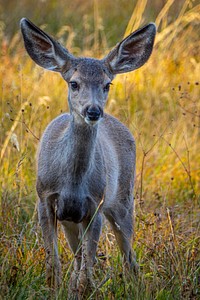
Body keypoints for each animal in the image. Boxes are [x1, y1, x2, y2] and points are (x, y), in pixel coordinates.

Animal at [20, 17, 155, 296]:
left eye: (107, 84)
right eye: (74, 83)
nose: (93, 111)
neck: (72, 182)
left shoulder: (96, 205)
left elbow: (87, 268)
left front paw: (82, 290)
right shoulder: (44, 198)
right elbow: (53, 263)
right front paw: (54, 290)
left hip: (123, 200)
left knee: (128, 257)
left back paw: (134, 287)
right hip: (73, 219)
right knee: (79, 255)